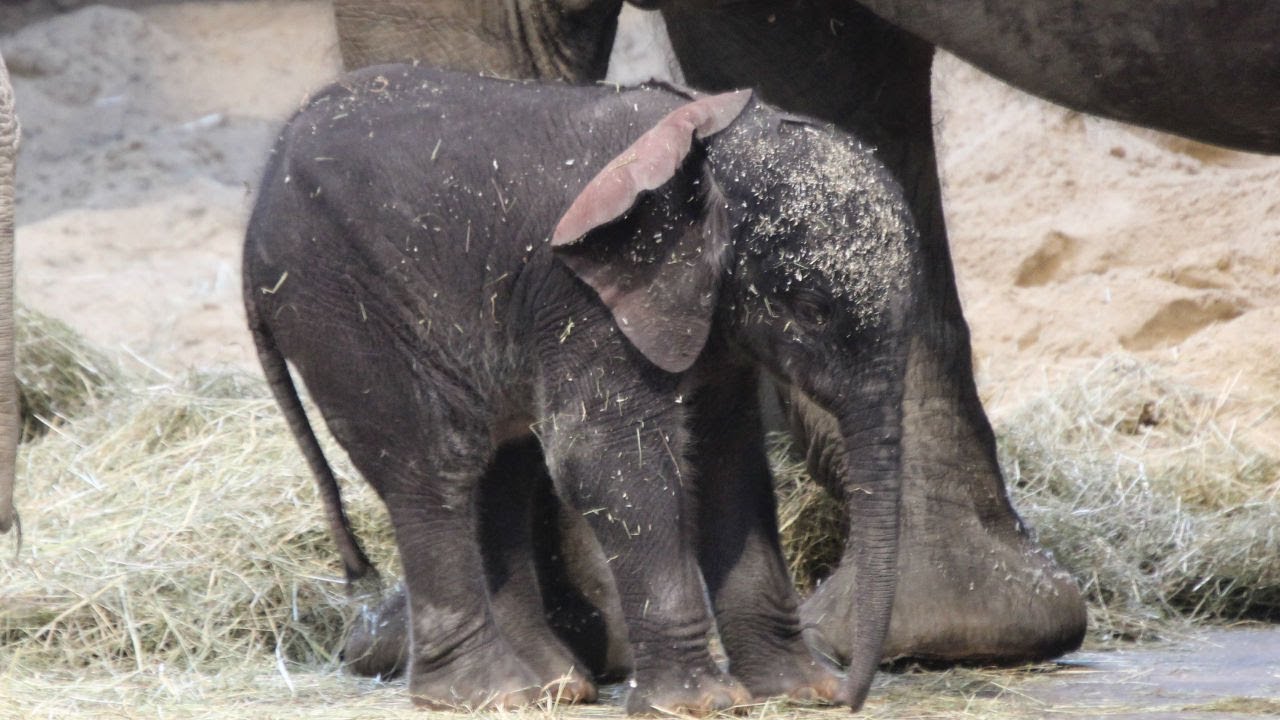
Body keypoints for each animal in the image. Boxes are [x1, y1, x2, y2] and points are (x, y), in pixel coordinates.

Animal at [245, 64, 926, 711]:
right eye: (811, 309)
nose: (851, 697)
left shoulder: (702, 312)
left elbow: (726, 464)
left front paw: (797, 692)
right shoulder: (585, 295)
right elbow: (608, 463)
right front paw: (698, 704)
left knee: (501, 467)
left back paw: (552, 688)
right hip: (340, 300)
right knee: (437, 463)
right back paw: (490, 695)